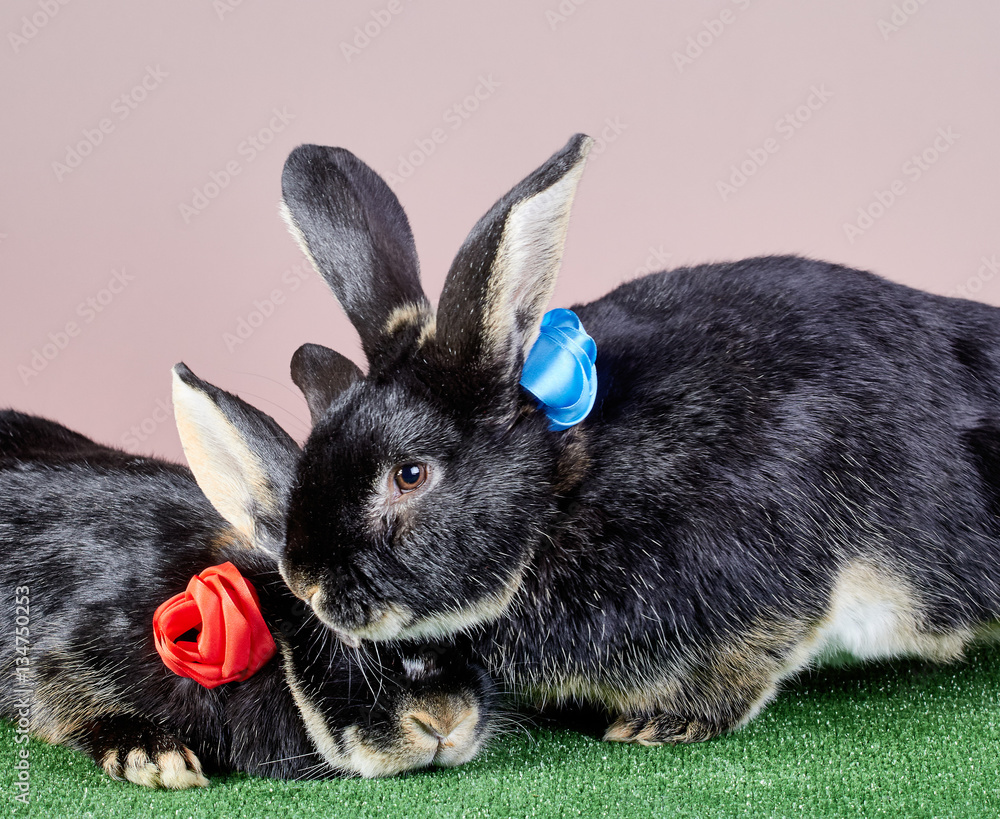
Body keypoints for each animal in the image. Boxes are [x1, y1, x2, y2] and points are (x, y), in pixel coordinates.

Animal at [178, 131, 1000, 748]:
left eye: (409, 474)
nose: (309, 581)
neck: (562, 491)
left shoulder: (762, 572)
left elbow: (745, 661)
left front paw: (660, 726)